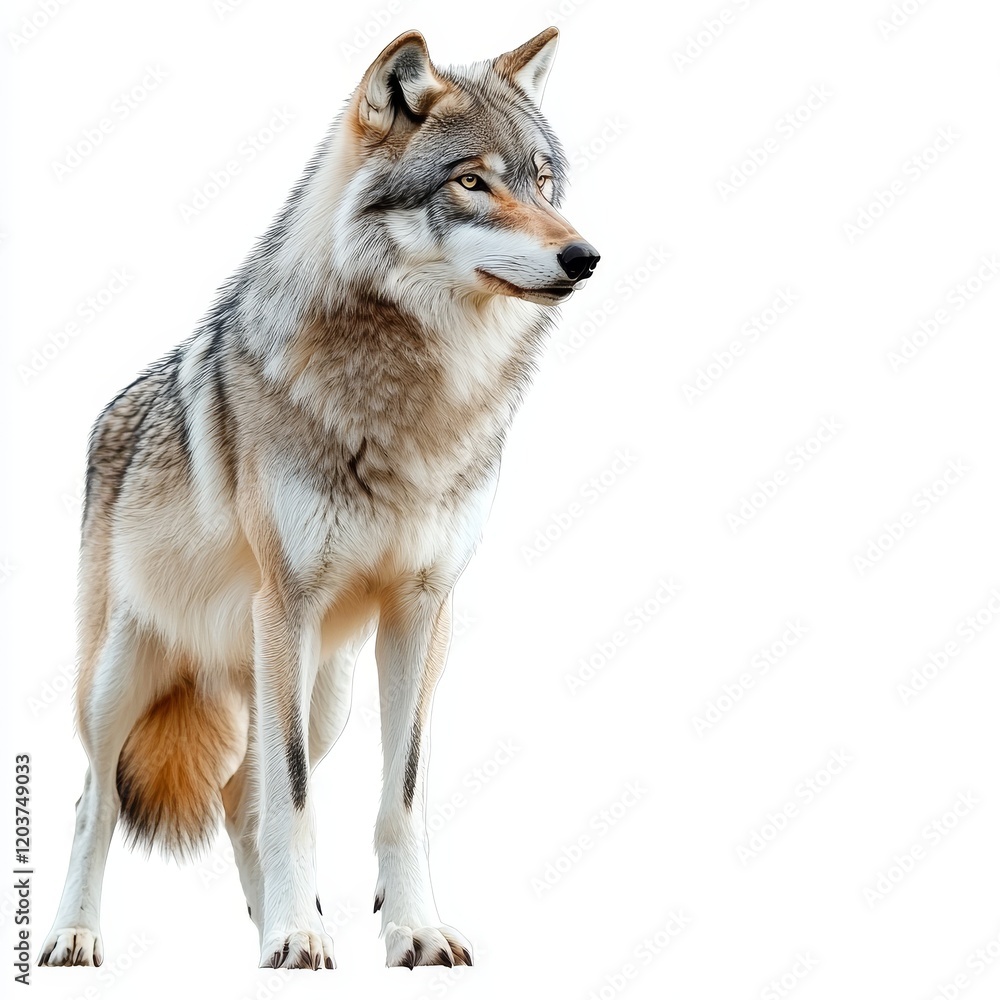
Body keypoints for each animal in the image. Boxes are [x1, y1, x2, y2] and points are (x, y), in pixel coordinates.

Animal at [39, 27, 599, 970]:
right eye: (471, 182)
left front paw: (409, 930)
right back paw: (77, 935)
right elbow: (294, 800)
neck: (415, 398)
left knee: (239, 796)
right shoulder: (289, 602)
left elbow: (398, 797)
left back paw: (272, 916)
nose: (584, 257)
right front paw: (298, 934)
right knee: (98, 799)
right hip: (128, 675)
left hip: (321, 691)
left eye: (543, 181)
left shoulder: (423, 609)